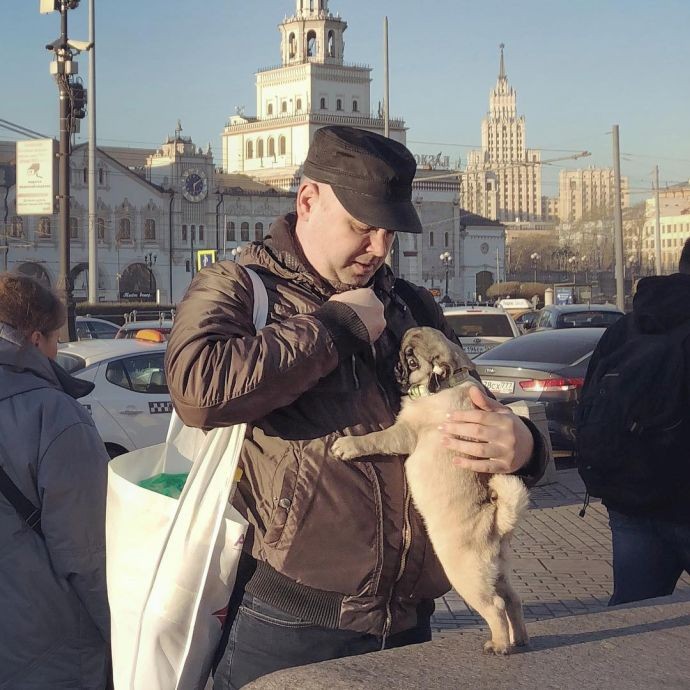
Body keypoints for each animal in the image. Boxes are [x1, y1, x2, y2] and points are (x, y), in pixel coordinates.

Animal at [330, 326, 528, 652]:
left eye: (410, 361)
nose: (393, 362)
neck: (447, 381)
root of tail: (496, 523)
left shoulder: (402, 433)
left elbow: (374, 439)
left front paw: (349, 444)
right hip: (498, 571)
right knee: (512, 599)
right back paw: (520, 637)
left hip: (466, 574)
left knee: (496, 606)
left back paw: (499, 644)